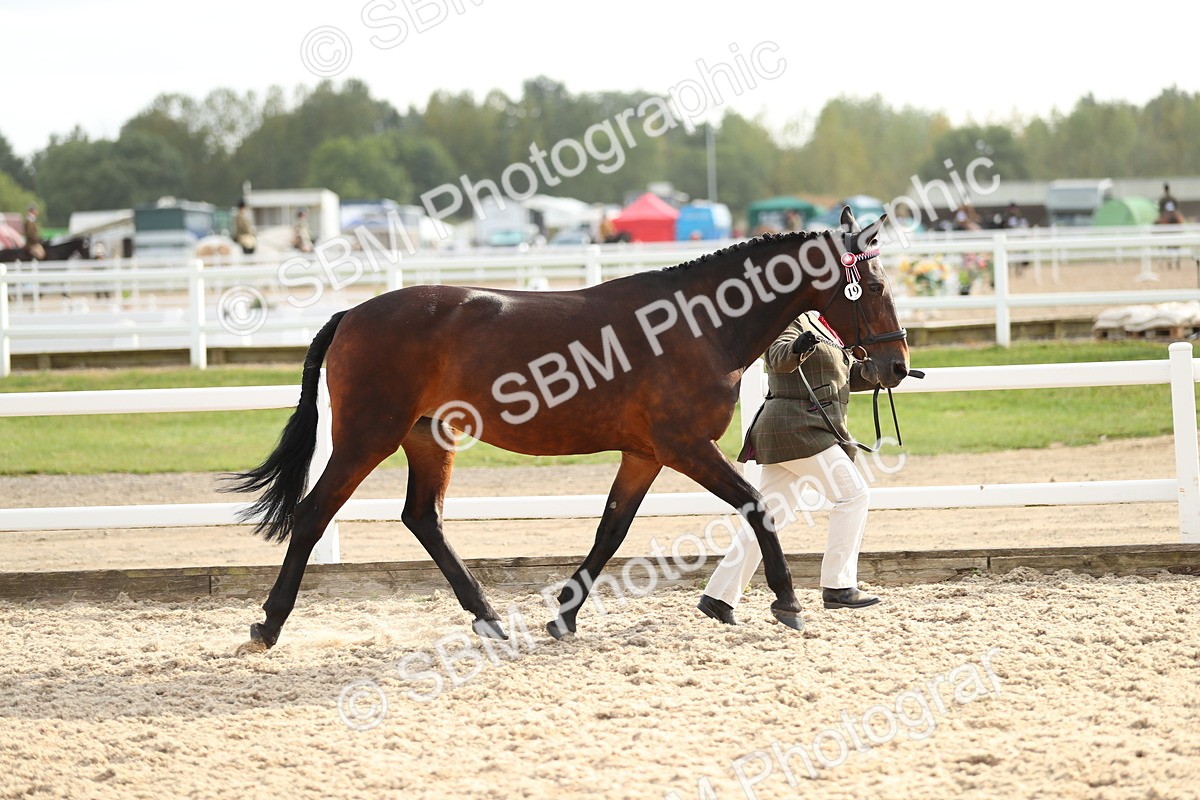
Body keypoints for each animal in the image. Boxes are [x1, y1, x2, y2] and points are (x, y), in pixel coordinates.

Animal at [224, 207, 910, 652]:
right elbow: (757, 507)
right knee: (314, 513)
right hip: (368, 436)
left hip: (427, 437)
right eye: (873, 285)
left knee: (423, 518)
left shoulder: (644, 454)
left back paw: (489, 619)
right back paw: (268, 625)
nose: (896, 366)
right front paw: (787, 602)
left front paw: (564, 616)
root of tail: (352, 313)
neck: (700, 325)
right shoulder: (685, 447)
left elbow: (611, 530)